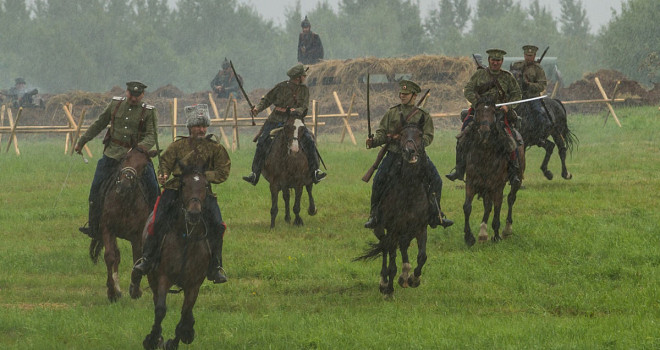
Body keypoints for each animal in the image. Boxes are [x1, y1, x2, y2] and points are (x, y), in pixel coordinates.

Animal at [89, 146, 159, 302]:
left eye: (144, 165)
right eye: (124, 159)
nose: (124, 186)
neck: (125, 202)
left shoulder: (137, 235)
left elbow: (137, 258)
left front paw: (135, 290)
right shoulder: (108, 229)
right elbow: (110, 257)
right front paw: (112, 292)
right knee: (116, 255)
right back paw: (117, 289)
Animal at [138, 164, 213, 350]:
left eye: (205, 185)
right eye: (183, 184)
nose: (194, 214)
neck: (186, 236)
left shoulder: (194, 284)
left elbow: (184, 314)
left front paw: (177, 339)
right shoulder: (164, 276)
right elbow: (160, 310)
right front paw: (152, 339)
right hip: (152, 276)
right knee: (156, 299)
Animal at [358, 119, 430, 298]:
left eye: (420, 134)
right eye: (402, 134)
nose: (409, 151)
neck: (410, 190)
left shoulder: (421, 228)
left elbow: (422, 256)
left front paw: (414, 279)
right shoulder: (393, 230)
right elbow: (391, 263)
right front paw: (388, 289)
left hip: (406, 232)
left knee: (402, 247)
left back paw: (404, 276)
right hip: (381, 229)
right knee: (385, 248)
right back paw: (385, 282)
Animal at [462, 96, 528, 246]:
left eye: (493, 112)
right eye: (478, 111)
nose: (484, 132)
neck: (485, 153)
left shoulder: (498, 185)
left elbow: (498, 206)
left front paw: (496, 235)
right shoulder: (472, 182)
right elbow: (467, 207)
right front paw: (469, 237)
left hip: (517, 180)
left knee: (510, 199)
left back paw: (507, 229)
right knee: (488, 205)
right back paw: (483, 232)